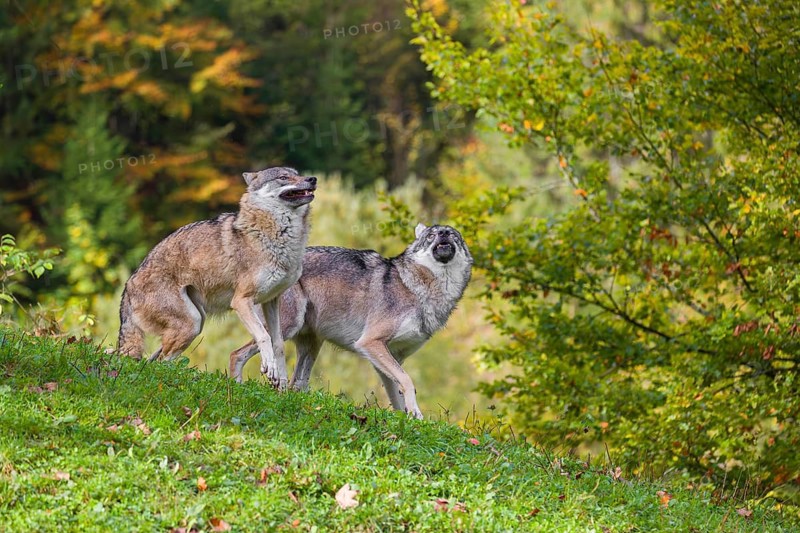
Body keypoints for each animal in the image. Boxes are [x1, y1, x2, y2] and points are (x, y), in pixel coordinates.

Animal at [117, 167, 316, 389]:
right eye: (283, 177)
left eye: (297, 173)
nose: (312, 179)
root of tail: (128, 285)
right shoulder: (241, 301)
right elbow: (264, 337)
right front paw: (270, 369)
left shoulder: (271, 301)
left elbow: (279, 344)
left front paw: (280, 385)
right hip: (192, 324)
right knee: (160, 362)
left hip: (196, 322)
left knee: (154, 360)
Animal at [229, 223, 473, 418]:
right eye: (431, 236)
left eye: (453, 235)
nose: (443, 233)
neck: (418, 288)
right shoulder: (371, 343)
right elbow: (408, 382)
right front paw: (416, 414)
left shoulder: (392, 357)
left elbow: (396, 395)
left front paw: (405, 419)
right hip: (287, 329)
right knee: (236, 354)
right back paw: (235, 389)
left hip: (312, 346)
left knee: (295, 384)